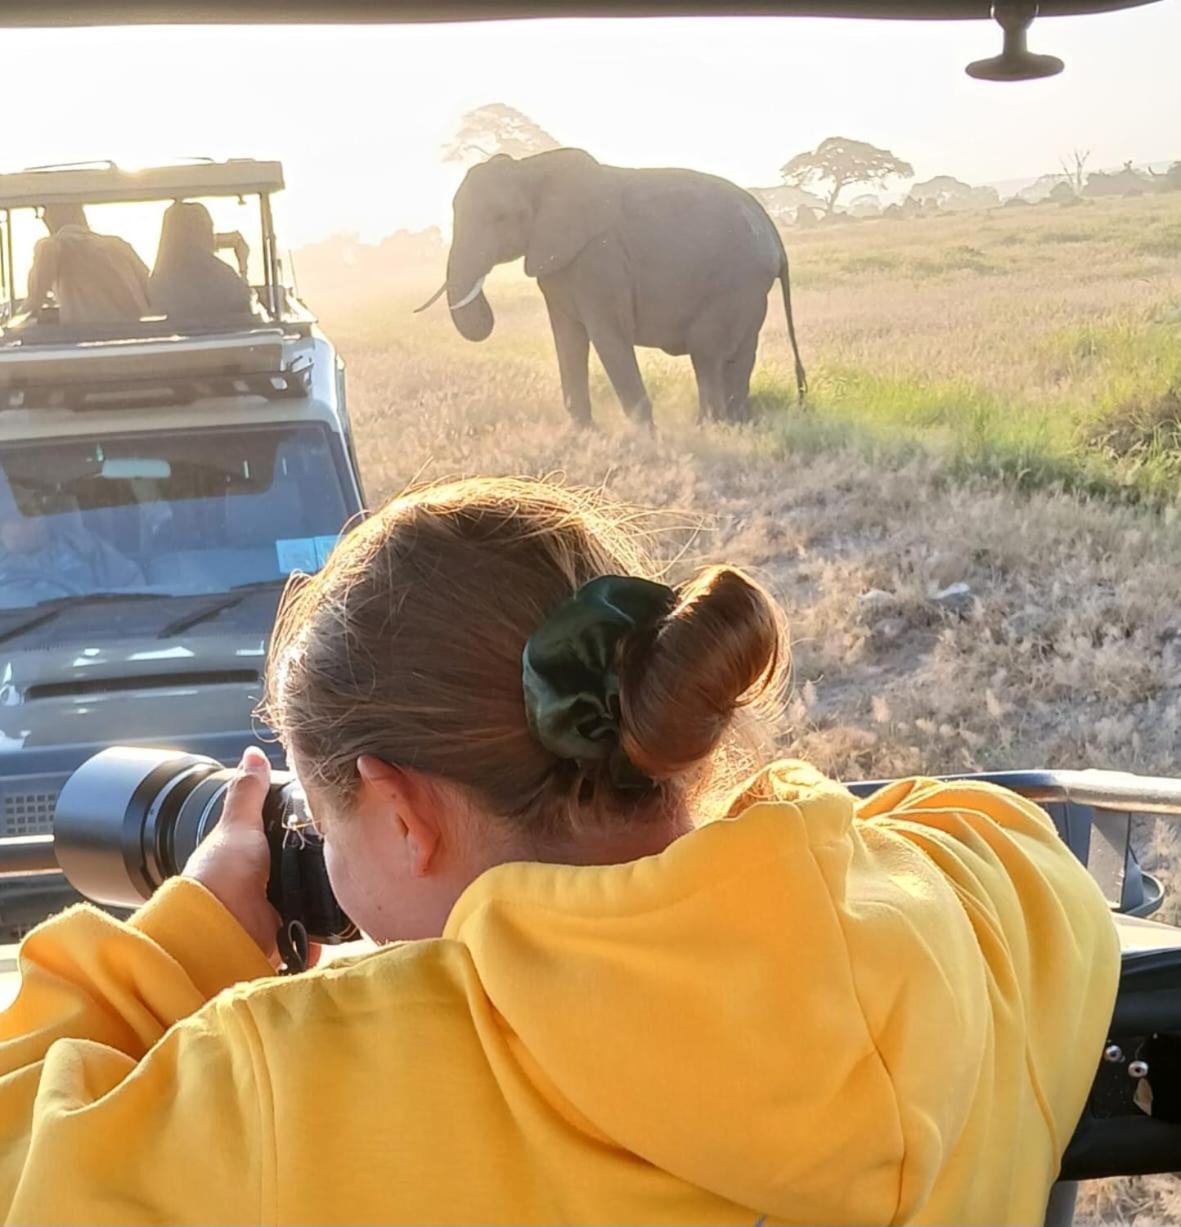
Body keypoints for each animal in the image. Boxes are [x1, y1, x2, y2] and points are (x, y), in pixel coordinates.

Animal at [419, 147, 809, 426]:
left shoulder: (600, 259)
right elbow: (567, 338)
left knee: (706, 352)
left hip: (734, 283)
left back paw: (711, 427)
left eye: (500, 217)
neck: (531, 168)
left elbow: (607, 335)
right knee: (739, 355)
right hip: (750, 289)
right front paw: (583, 434)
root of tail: (776, 238)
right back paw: (740, 424)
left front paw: (644, 439)